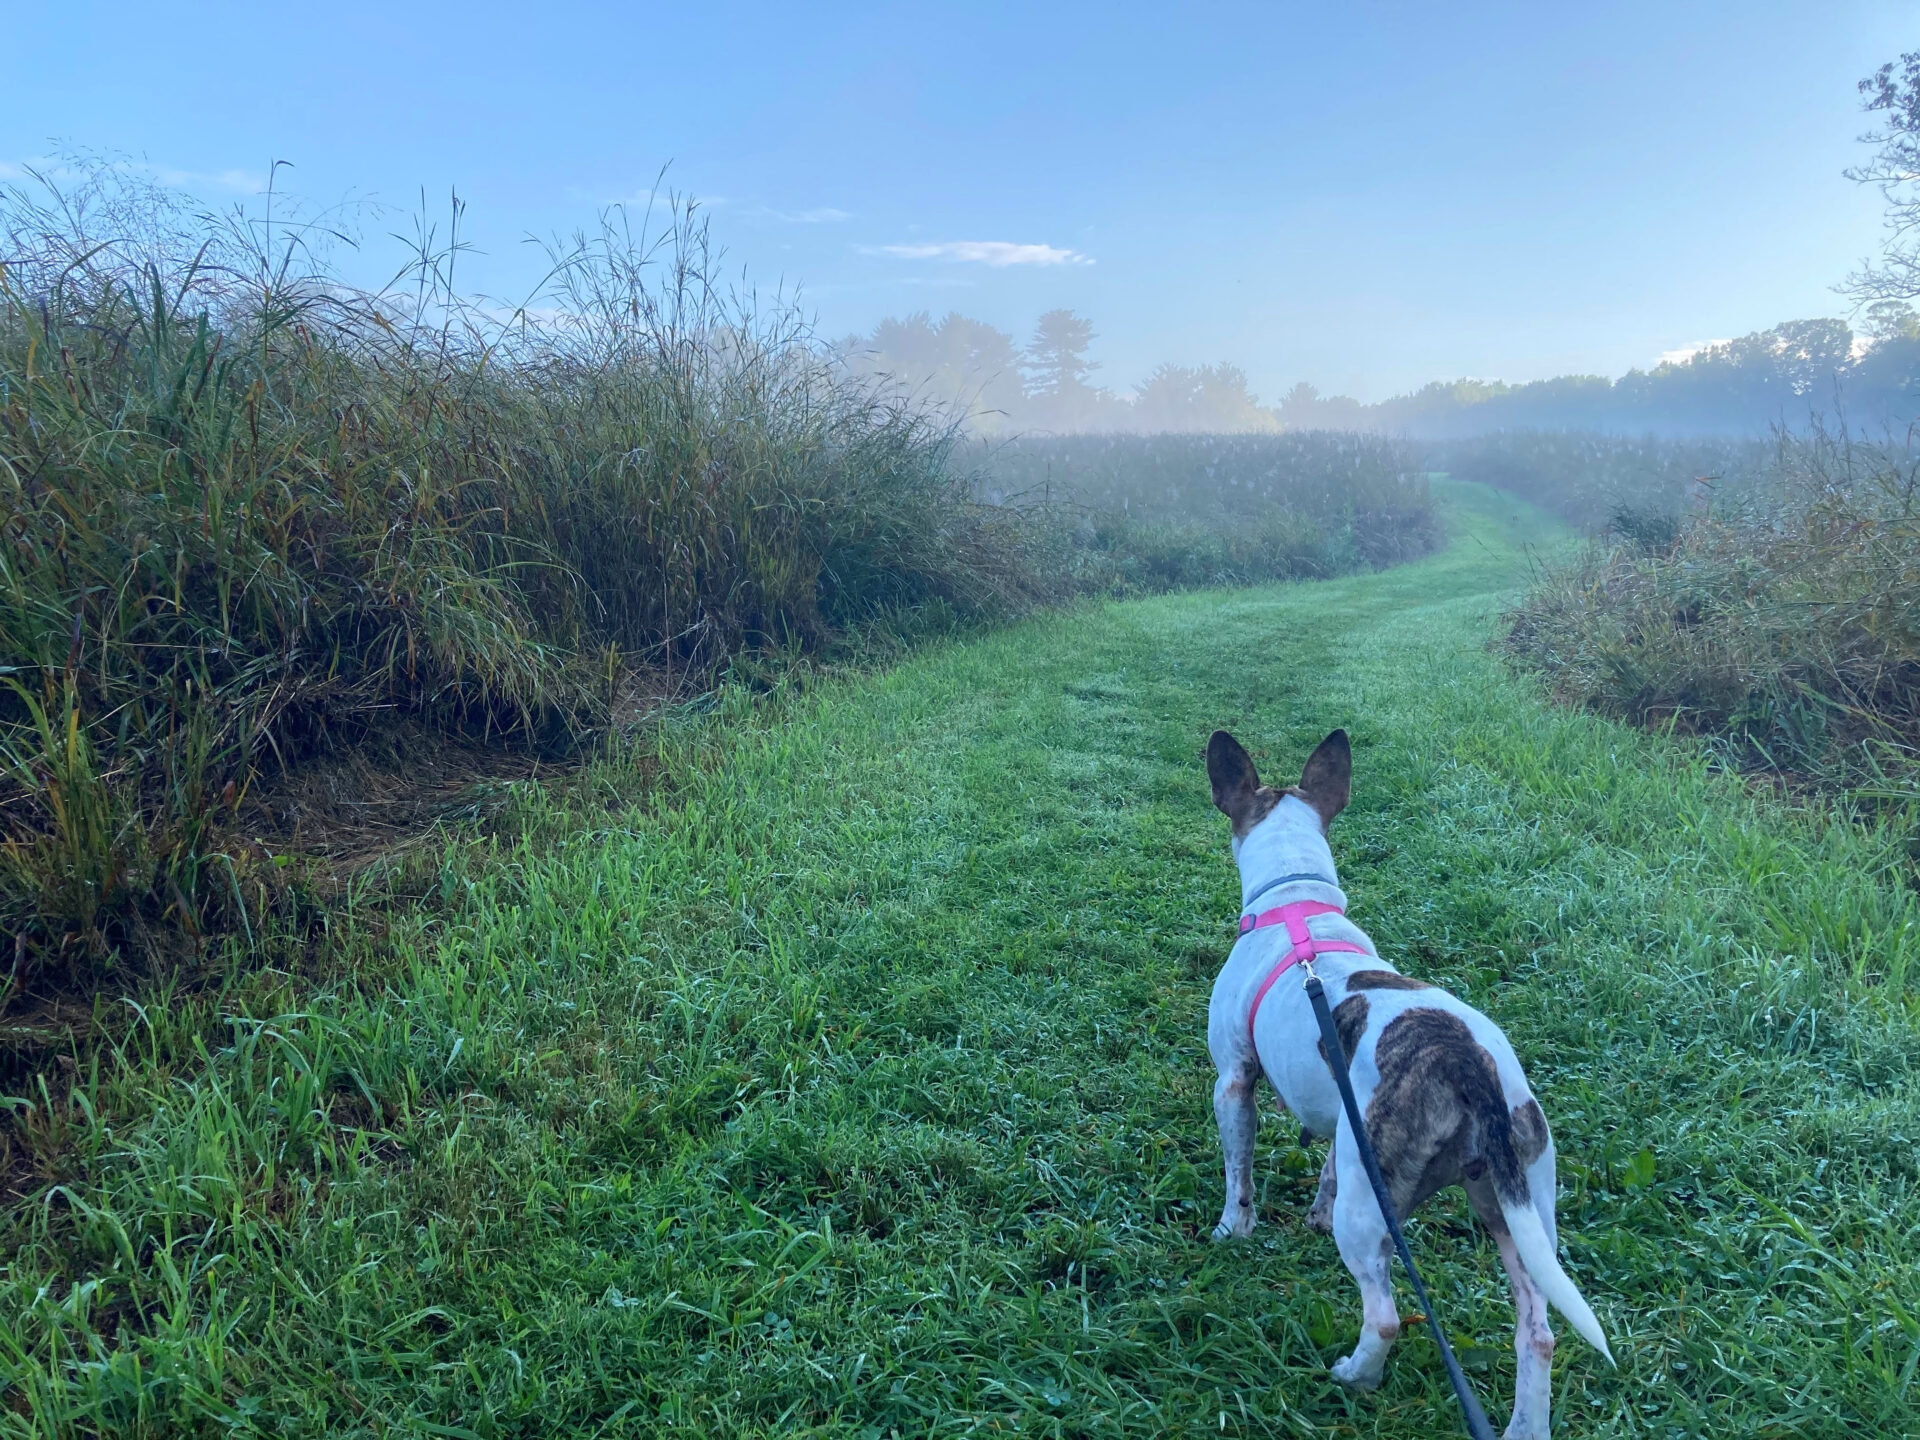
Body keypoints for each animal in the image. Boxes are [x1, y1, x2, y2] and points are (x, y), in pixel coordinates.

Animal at [1205, 733, 1612, 1440]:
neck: (1296, 906)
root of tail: (1468, 1062)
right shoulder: (1343, 1123)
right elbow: (1324, 1172)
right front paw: (1309, 1217)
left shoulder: (1233, 1083)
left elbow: (1240, 1173)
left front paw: (1234, 1229)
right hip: (1516, 1204)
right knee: (1538, 1330)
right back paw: (1524, 1426)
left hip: (1374, 1213)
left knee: (1388, 1315)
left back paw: (1354, 1377)